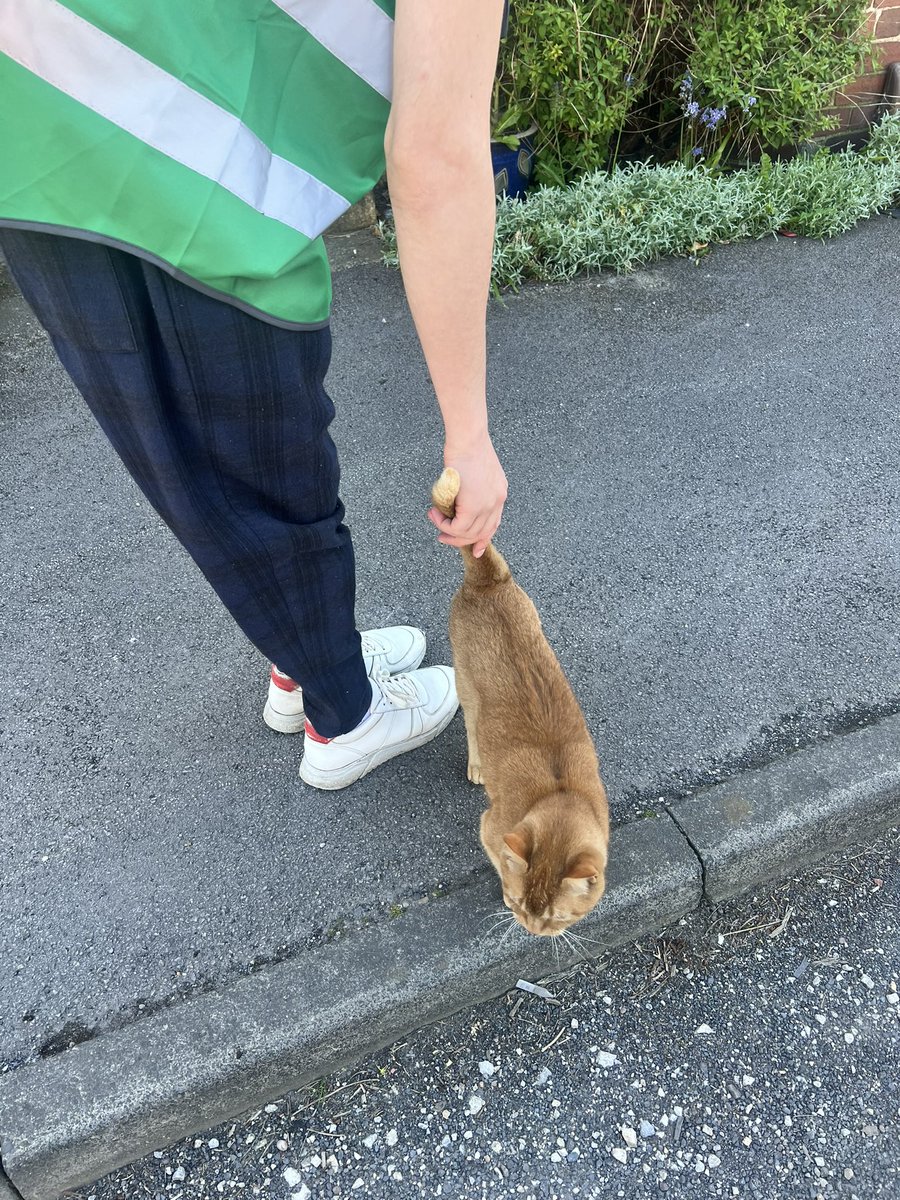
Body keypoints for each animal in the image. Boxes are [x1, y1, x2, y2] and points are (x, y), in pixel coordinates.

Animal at [432, 468, 614, 936]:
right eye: (517, 903)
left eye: (557, 918)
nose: (532, 931)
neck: (560, 793)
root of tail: (487, 582)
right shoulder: (490, 828)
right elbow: (499, 858)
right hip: (465, 684)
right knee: (472, 726)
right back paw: (478, 764)